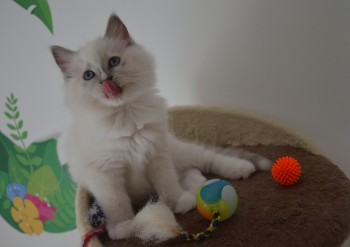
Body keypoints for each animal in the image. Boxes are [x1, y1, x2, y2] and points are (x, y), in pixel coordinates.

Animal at [50, 14, 272, 241]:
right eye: (88, 75)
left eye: (114, 61)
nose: (106, 80)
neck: (125, 114)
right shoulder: (105, 174)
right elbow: (117, 202)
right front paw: (123, 226)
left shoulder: (157, 154)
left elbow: (167, 183)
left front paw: (178, 203)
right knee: (191, 171)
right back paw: (198, 185)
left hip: (177, 151)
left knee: (206, 159)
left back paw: (240, 169)